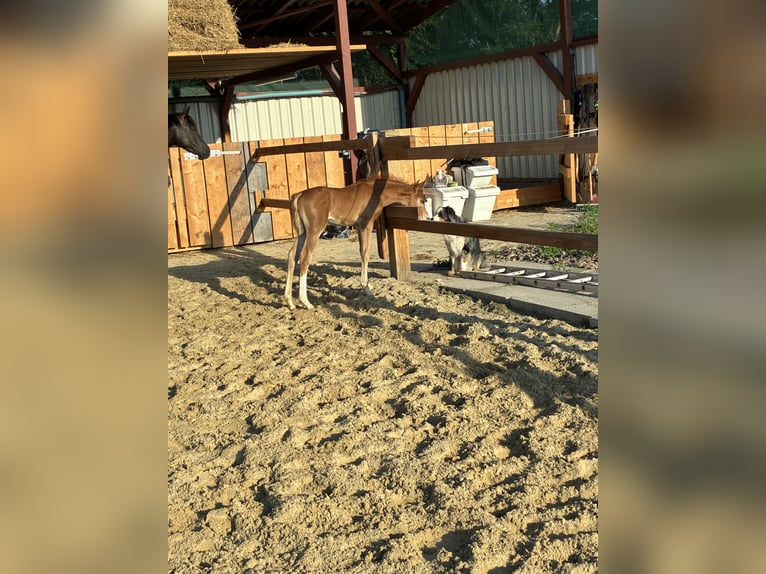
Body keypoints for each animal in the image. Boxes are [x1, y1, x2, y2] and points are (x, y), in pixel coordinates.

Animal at [285, 178, 427, 310]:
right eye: (423, 200)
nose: (427, 217)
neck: (376, 193)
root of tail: (299, 195)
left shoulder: (358, 226)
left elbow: (361, 251)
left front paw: (367, 286)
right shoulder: (366, 224)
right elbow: (365, 252)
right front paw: (366, 287)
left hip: (302, 232)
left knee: (292, 255)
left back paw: (290, 302)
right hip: (314, 231)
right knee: (305, 257)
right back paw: (306, 302)